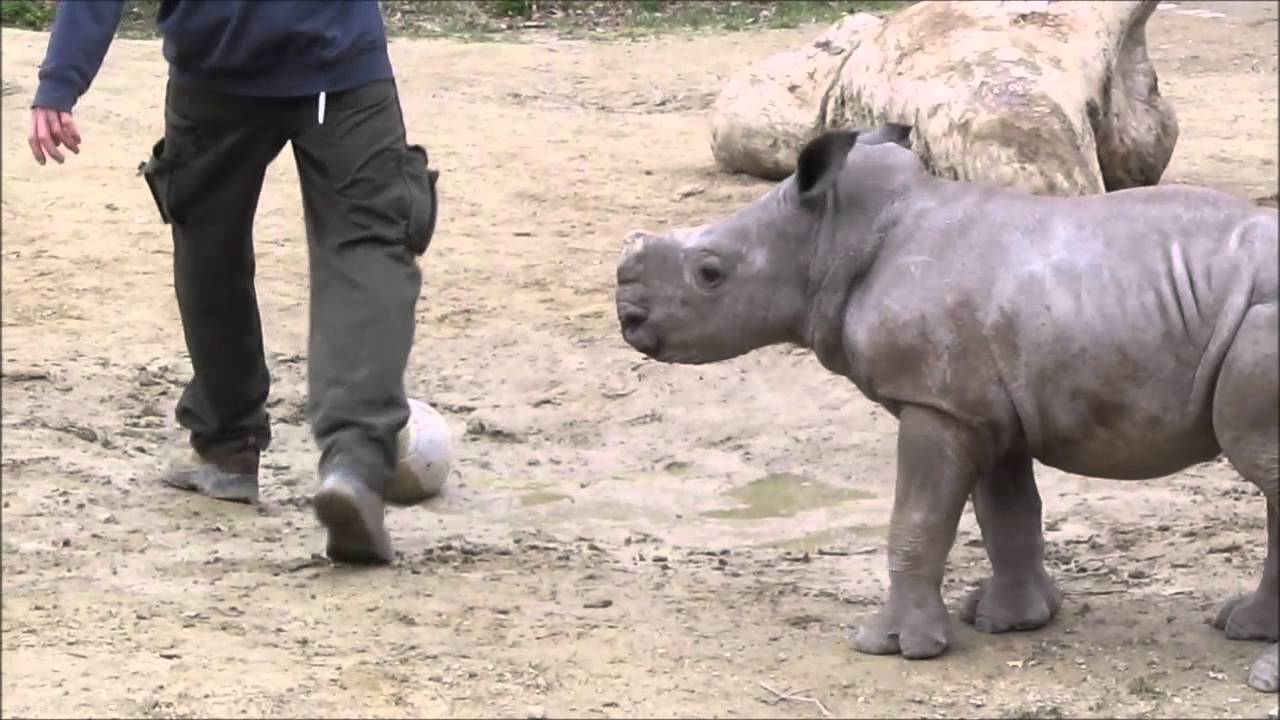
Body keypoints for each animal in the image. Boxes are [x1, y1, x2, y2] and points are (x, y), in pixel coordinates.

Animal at [614, 126, 1279, 692]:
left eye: (709, 273)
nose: (628, 317)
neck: (829, 236)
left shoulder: (935, 404)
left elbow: (917, 519)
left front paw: (892, 647)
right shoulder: (980, 405)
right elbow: (1008, 514)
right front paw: (1011, 620)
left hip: (1263, 320)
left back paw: (1261, 672)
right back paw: (1243, 627)